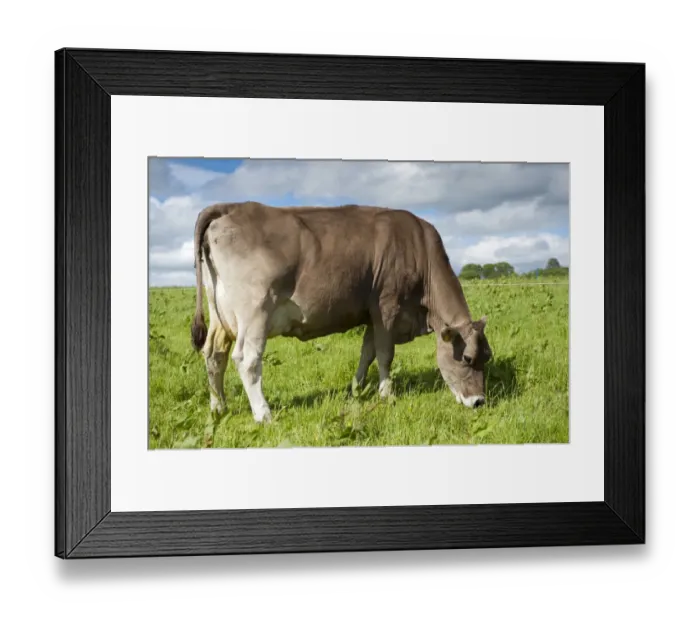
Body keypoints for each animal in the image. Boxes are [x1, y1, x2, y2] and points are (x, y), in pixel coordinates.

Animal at [190, 201, 492, 423]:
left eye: (487, 357)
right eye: (466, 358)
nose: (479, 401)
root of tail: (231, 207)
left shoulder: (371, 314)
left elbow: (367, 352)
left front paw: (356, 388)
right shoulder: (387, 306)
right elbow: (385, 353)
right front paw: (386, 394)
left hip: (220, 314)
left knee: (214, 353)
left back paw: (218, 407)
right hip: (255, 311)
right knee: (247, 359)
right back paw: (263, 414)